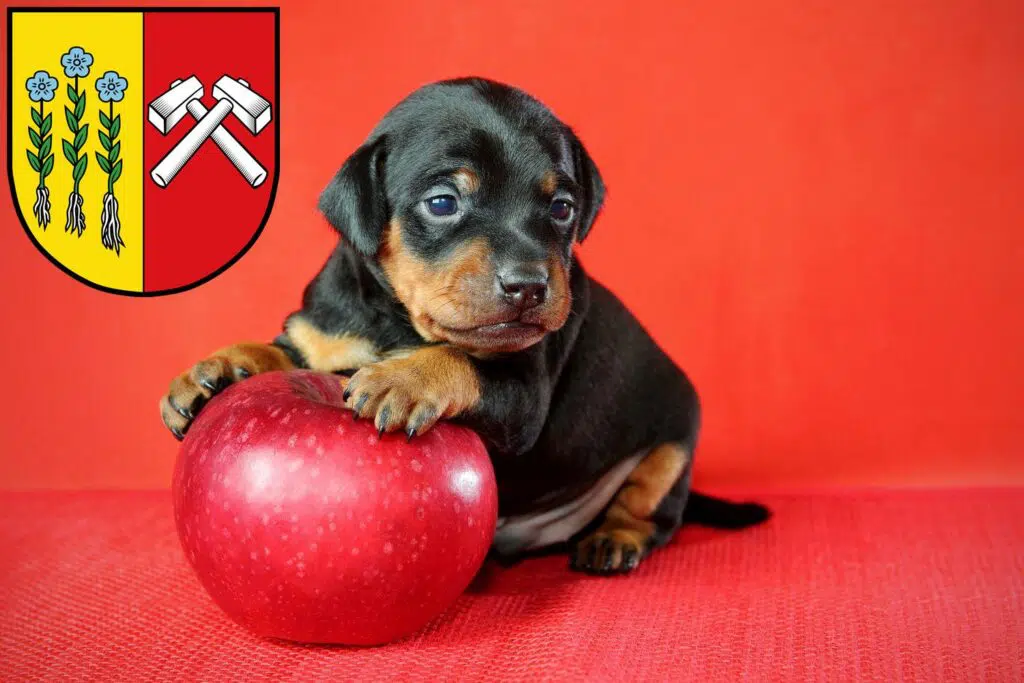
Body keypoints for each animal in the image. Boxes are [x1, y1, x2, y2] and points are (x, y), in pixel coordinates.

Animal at [159, 77, 770, 573]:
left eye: (562, 208)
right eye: (443, 202)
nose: (529, 286)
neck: (400, 323)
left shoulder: (523, 395)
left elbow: (457, 357)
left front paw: (401, 378)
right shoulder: (322, 335)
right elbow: (282, 351)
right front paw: (219, 367)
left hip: (674, 440)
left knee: (654, 510)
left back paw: (615, 538)